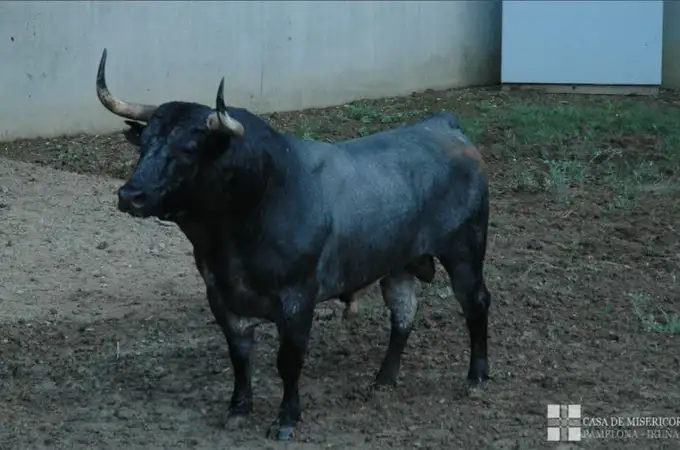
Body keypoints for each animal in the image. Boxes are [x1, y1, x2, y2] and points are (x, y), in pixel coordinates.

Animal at [95, 48, 492, 440]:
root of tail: (443, 124)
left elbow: (288, 361)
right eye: (145, 144)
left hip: (465, 251)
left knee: (475, 302)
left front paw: (286, 419)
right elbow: (240, 356)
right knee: (404, 313)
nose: (131, 195)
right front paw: (238, 410)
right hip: (398, 264)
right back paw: (384, 380)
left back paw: (476, 378)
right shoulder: (221, 296)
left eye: (190, 147)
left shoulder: (297, 300)